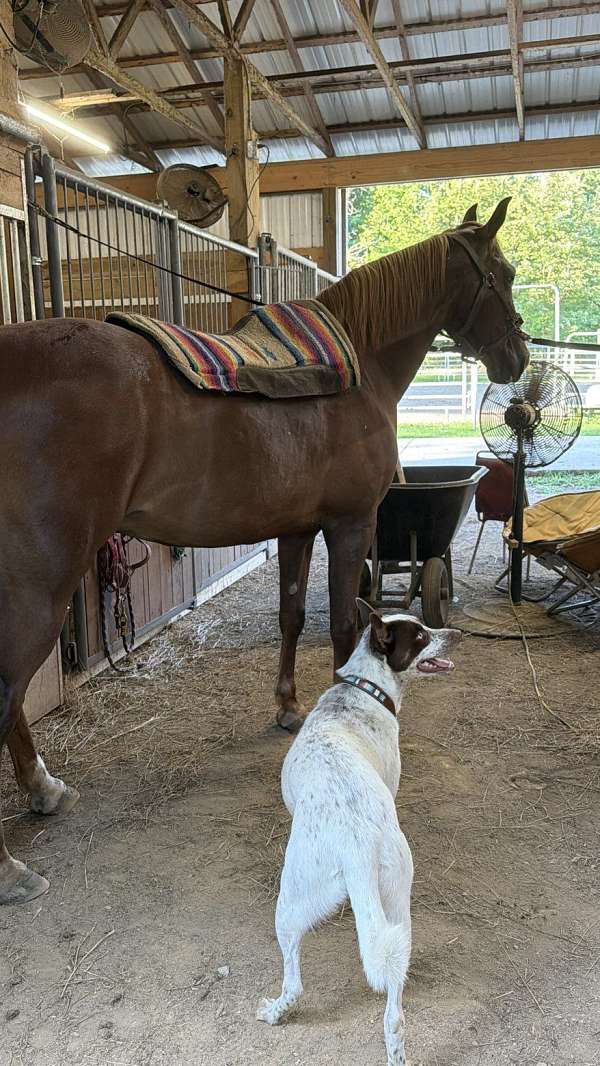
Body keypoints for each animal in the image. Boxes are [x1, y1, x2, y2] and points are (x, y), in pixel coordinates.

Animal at [0, 198, 528, 904]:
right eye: (504, 274)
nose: (517, 357)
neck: (362, 365)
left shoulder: (298, 528)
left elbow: (292, 616)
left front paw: (287, 708)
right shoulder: (349, 525)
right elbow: (346, 625)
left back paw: (44, 789)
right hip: (41, 587)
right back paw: (11, 863)